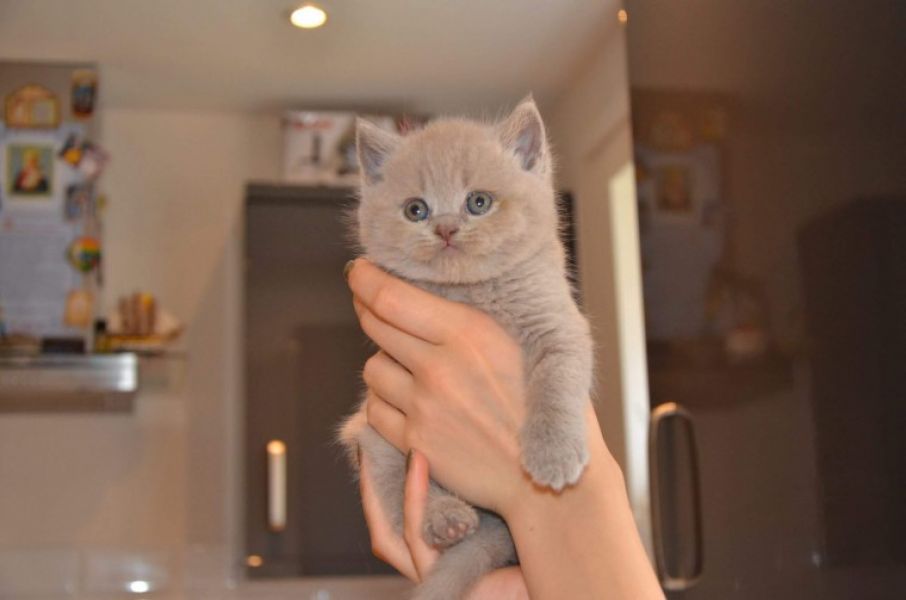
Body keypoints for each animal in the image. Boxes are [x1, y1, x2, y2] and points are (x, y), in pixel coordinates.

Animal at [340, 97, 592, 600]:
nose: (446, 228)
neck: (474, 293)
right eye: (416, 210)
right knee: (401, 486)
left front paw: (552, 452)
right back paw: (446, 520)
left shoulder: (561, 326)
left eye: (478, 202)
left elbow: (555, 380)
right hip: (373, 435)